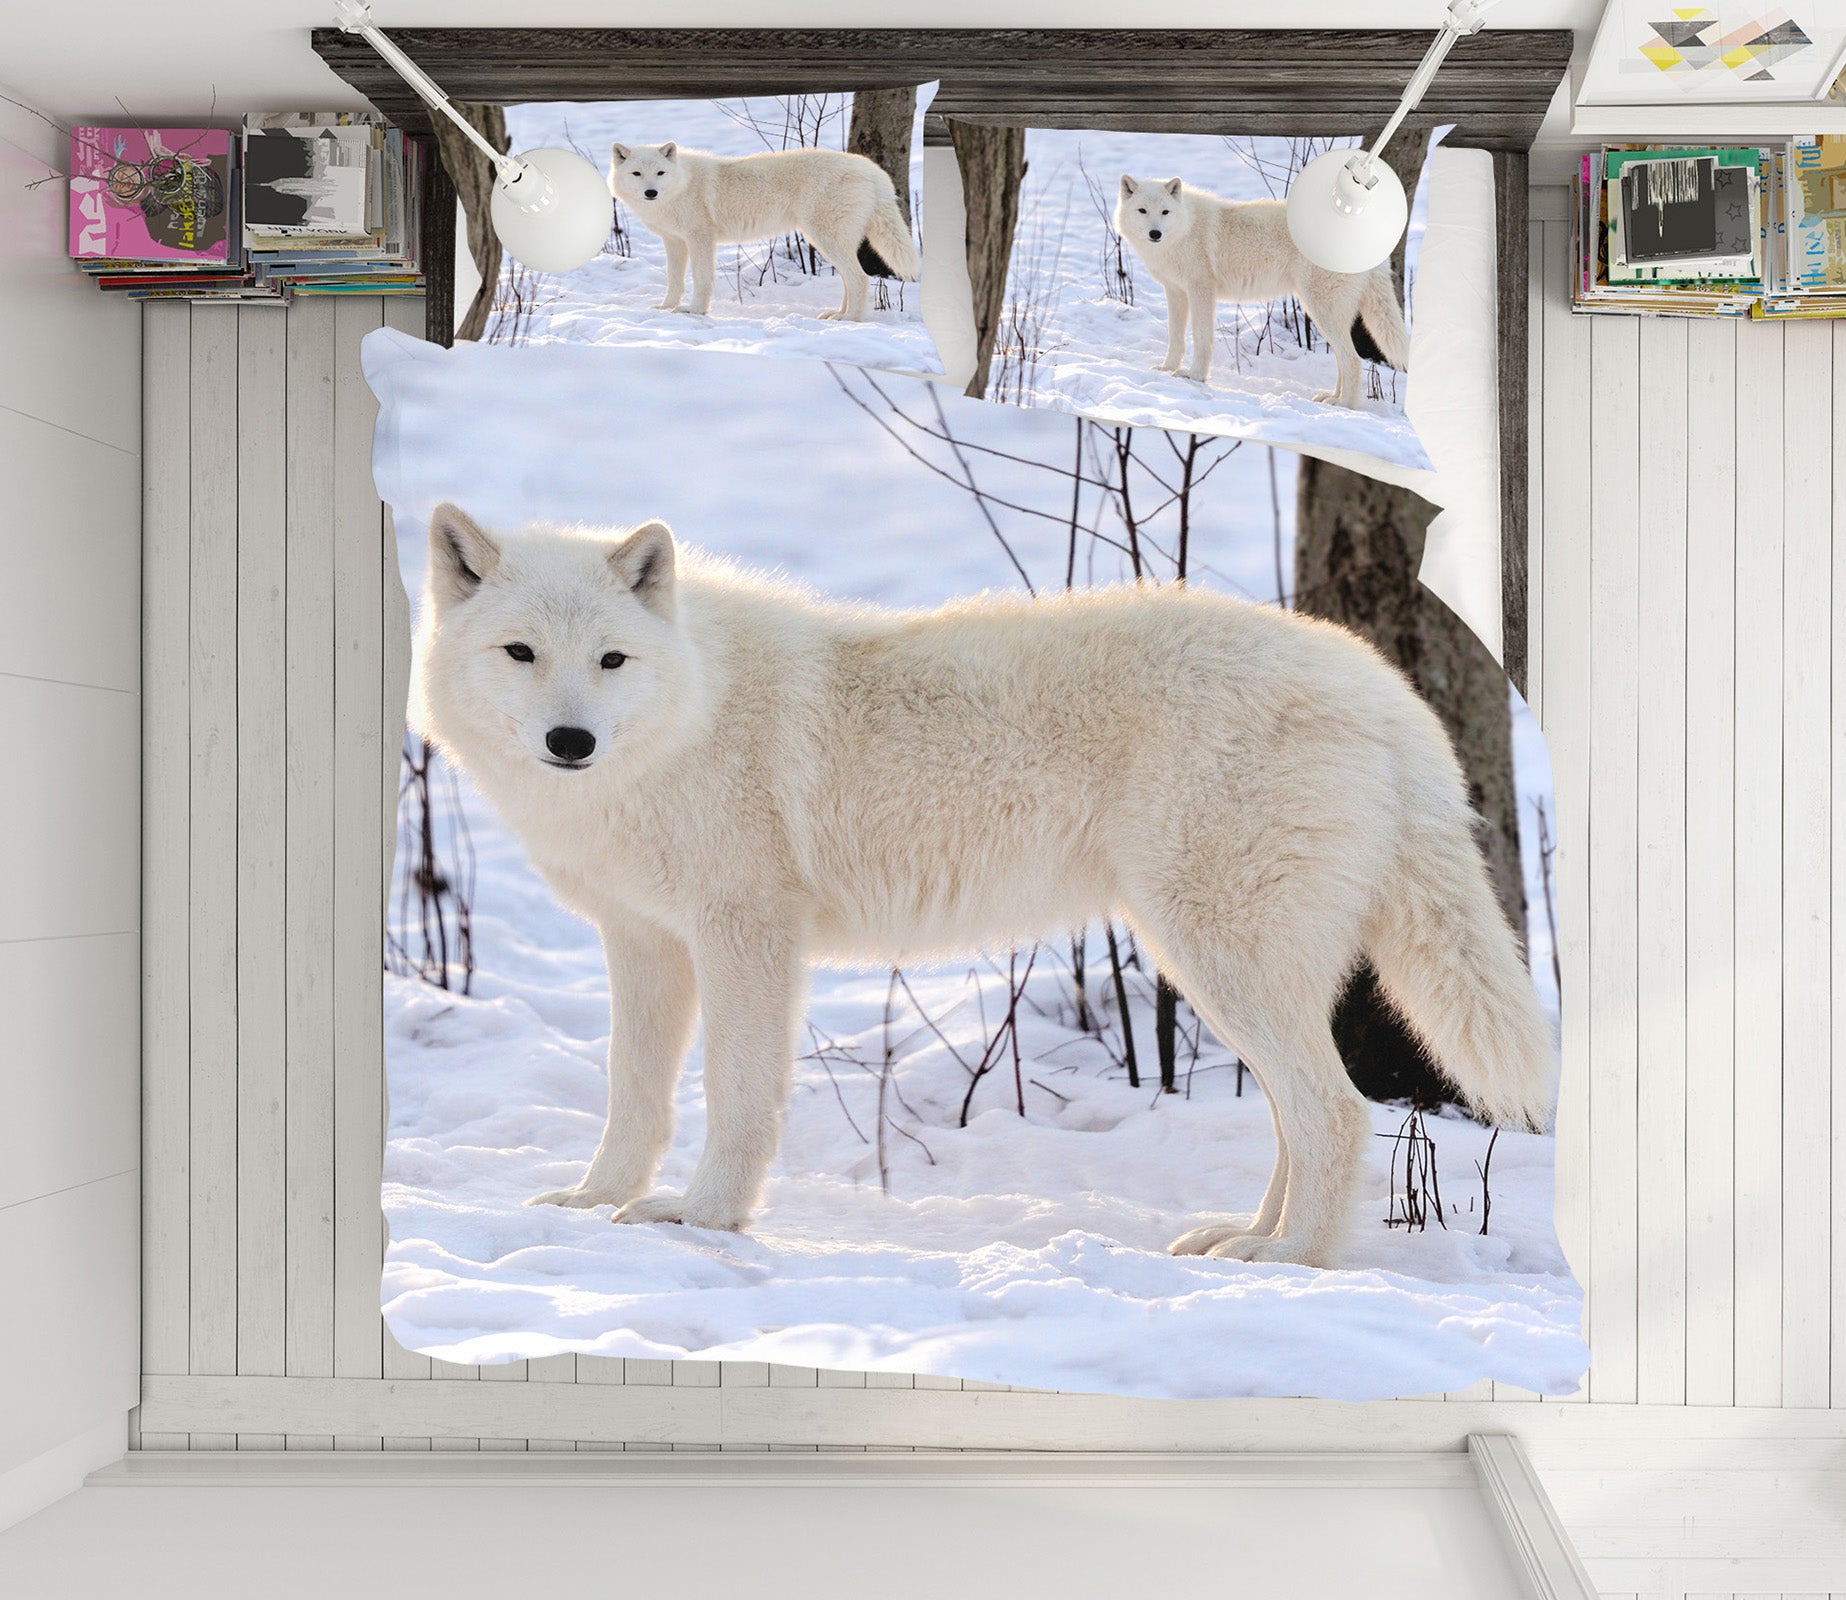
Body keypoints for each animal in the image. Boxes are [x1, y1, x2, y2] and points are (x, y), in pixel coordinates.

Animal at [411, 505, 1554, 1270]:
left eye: (611, 659)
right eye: (521, 653)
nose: (570, 740)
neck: (689, 711)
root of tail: (1385, 692)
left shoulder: (746, 934)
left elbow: (735, 1094)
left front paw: (702, 1220)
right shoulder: (644, 942)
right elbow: (632, 1094)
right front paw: (596, 1200)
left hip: (1215, 958)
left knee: (1337, 1111)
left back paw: (1287, 1265)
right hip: (1227, 968)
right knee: (1303, 1116)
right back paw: (1246, 1237)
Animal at [608, 142, 920, 321]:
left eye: (660, 173)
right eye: (637, 174)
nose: (650, 192)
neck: (682, 184)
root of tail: (874, 171)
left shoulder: (700, 238)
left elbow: (701, 279)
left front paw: (695, 312)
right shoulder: (673, 242)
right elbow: (674, 281)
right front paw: (666, 308)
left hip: (824, 239)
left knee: (860, 279)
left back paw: (850, 320)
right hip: (828, 242)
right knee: (850, 281)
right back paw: (838, 314)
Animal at [1114, 176, 1410, 407]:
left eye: (1165, 212)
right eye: (1142, 210)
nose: (1155, 233)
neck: (1184, 228)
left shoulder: (1201, 290)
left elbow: (1201, 338)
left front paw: (1195, 376)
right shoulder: (1176, 292)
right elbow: (1175, 338)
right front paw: (1167, 369)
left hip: (1319, 310)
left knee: (1353, 360)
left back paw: (1343, 405)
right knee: (1344, 360)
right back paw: (1331, 398)